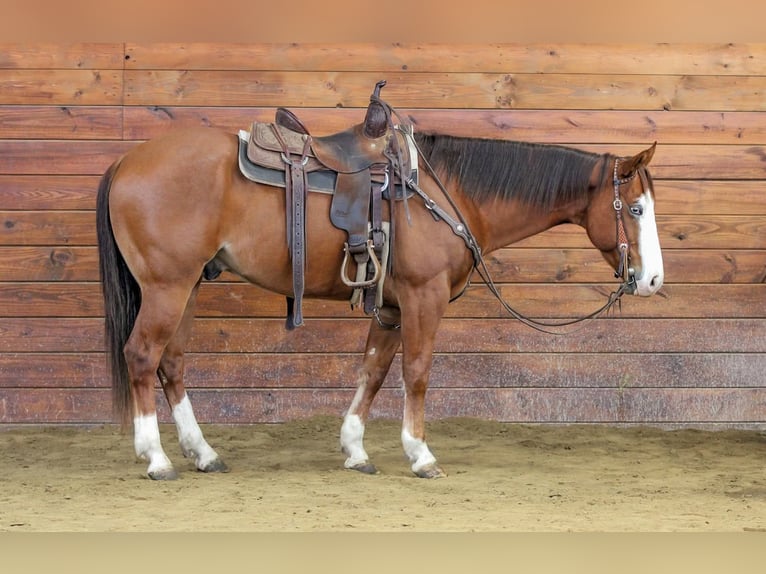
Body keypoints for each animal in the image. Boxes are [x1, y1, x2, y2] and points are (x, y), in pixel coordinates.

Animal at [96, 95, 663, 480]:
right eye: (635, 209)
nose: (653, 280)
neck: (445, 191)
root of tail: (126, 162)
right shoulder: (422, 296)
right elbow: (416, 372)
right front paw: (420, 454)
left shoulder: (390, 306)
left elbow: (373, 371)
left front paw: (355, 449)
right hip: (167, 286)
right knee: (142, 355)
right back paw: (156, 458)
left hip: (188, 286)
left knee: (172, 363)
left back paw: (204, 453)